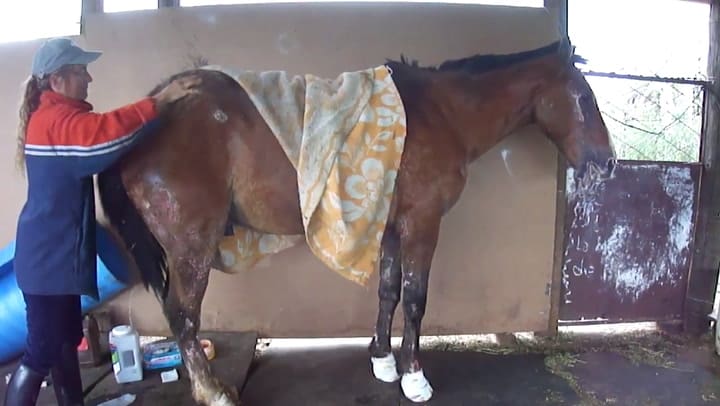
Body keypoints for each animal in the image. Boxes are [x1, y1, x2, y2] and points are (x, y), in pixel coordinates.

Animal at [97, 37, 615, 405]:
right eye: (583, 97)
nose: (608, 163)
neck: (440, 114)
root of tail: (156, 105)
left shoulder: (389, 226)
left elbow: (388, 292)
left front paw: (383, 360)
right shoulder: (422, 226)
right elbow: (415, 299)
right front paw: (414, 377)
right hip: (191, 247)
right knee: (183, 317)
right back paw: (213, 393)